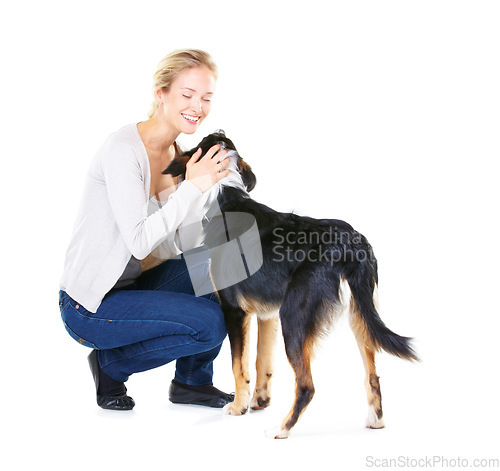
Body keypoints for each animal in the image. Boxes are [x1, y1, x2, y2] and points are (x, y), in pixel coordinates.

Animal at [164, 132, 418, 438]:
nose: (220, 127)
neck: (225, 193)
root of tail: (348, 242)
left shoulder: (235, 310)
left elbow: (240, 365)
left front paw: (239, 407)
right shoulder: (267, 314)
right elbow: (261, 362)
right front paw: (259, 400)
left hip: (295, 317)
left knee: (307, 385)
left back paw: (282, 428)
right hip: (360, 316)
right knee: (372, 376)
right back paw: (375, 420)